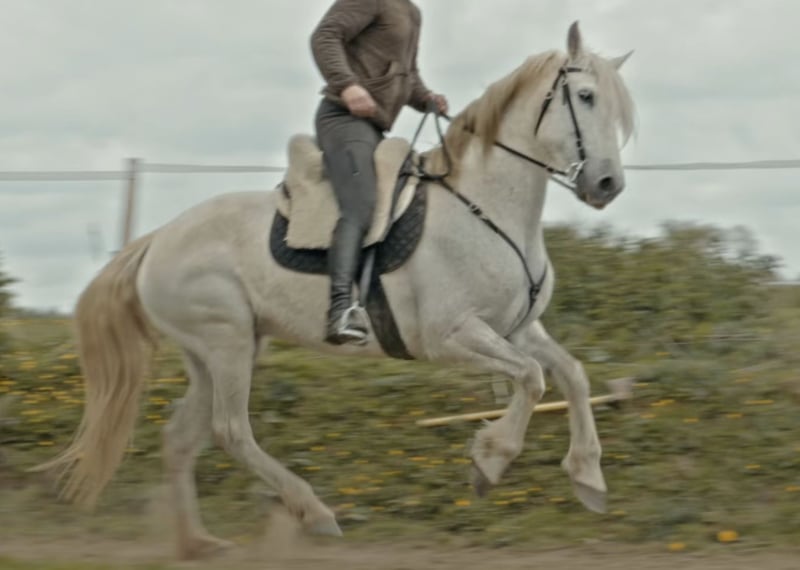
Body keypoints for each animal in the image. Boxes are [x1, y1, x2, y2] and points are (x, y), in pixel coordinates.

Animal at [39, 22, 636, 560]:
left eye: (620, 112)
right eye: (586, 97)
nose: (607, 185)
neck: (484, 208)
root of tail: (157, 239)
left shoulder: (517, 328)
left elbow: (572, 375)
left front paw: (588, 476)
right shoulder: (453, 335)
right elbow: (532, 380)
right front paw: (489, 460)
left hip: (220, 349)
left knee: (185, 436)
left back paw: (198, 543)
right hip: (225, 341)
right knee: (231, 430)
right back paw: (314, 513)